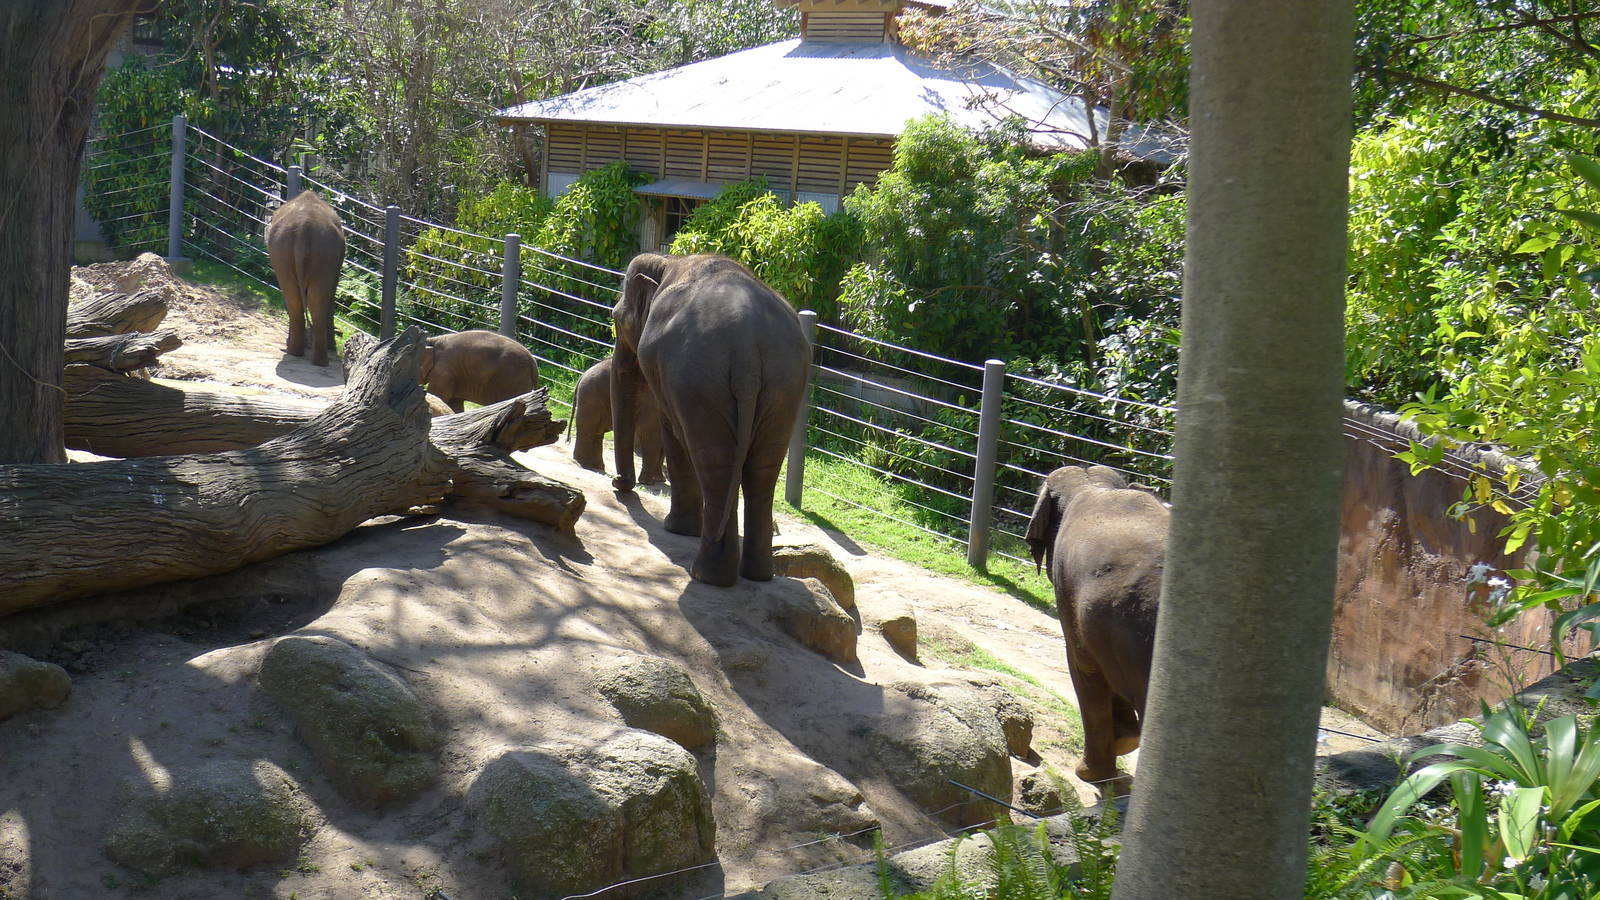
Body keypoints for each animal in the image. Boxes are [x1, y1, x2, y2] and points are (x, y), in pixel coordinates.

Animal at [265, 190, 345, 368]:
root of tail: (304, 227)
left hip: (290, 252)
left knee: (298, 300)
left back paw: (300, 353)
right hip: (317, 254)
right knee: (311, 302)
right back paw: (312, 357)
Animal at [572, 356, 665, 485]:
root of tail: (583, 375)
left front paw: (659, 480)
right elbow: (649, 432)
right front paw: (647, 482)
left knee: (597, 432)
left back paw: (596, 466)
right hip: (590, 396)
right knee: (588, 428)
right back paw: (582, 463)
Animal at [611, 253, 810, 587]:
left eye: (616, 319)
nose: (617, 483)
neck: (668, 260)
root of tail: (746, 352)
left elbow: (672, 432)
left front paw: (676, 529)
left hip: (698, 381)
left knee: (715, 464)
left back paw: (706, 574)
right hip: (786, 386)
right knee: (761, 470)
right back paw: (758, 575)